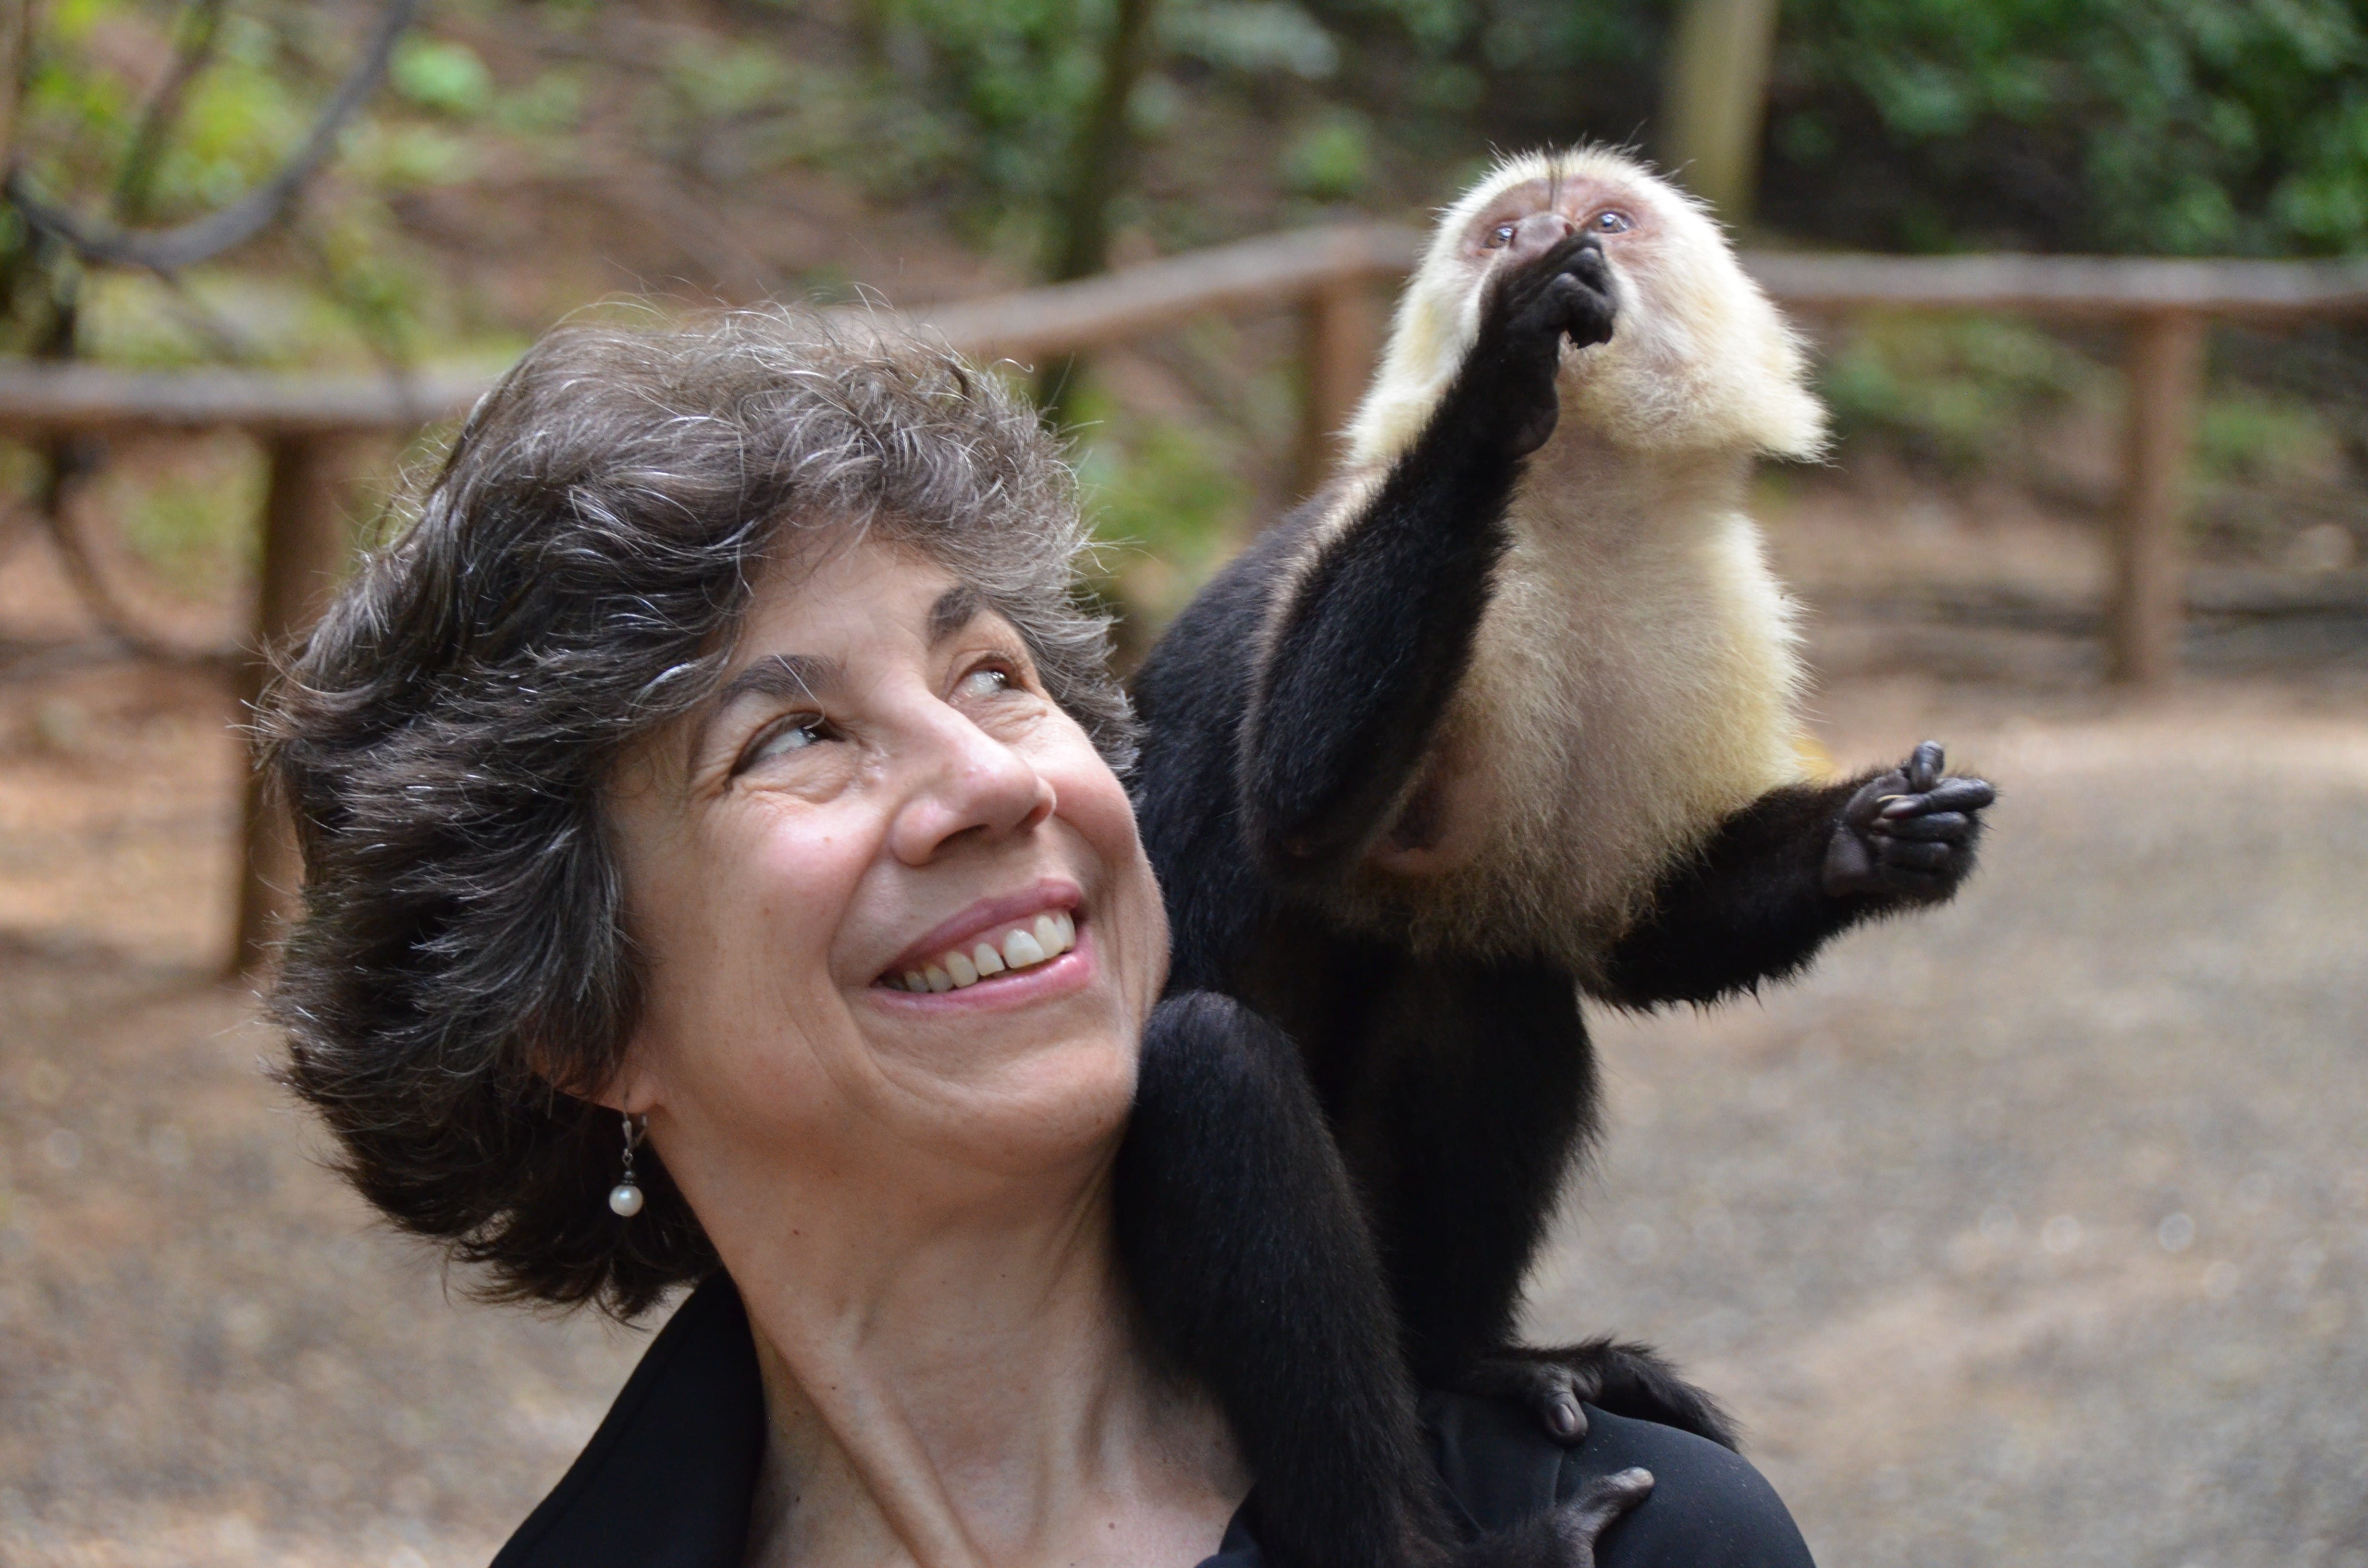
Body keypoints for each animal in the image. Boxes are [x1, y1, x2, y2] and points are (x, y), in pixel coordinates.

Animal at [1108, 150, 1998, 1568]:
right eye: (1504, 233)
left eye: (1613, 219)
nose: (1557, 234)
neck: (1573, 516)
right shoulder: (1334, 535)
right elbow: (1290, 810)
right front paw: (1497, 383)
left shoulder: (1710, 608)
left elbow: (1631, 939)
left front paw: (1874, 838)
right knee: (1215, 1071)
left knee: (1493, 989)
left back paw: (1470, 1360)